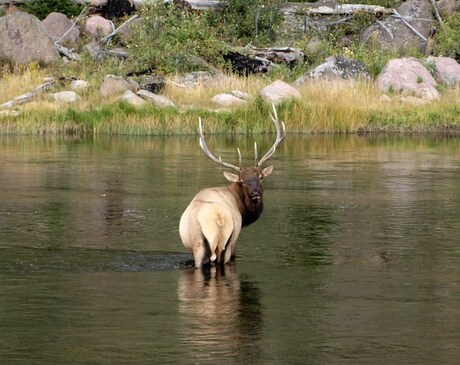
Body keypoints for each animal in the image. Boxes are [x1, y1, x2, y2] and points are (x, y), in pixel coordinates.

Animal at [179, 105, 284, 268]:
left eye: (260, 177)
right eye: (242, 181)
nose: (255, 192)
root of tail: (219, 218)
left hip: (207, 245)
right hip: (225, 243)